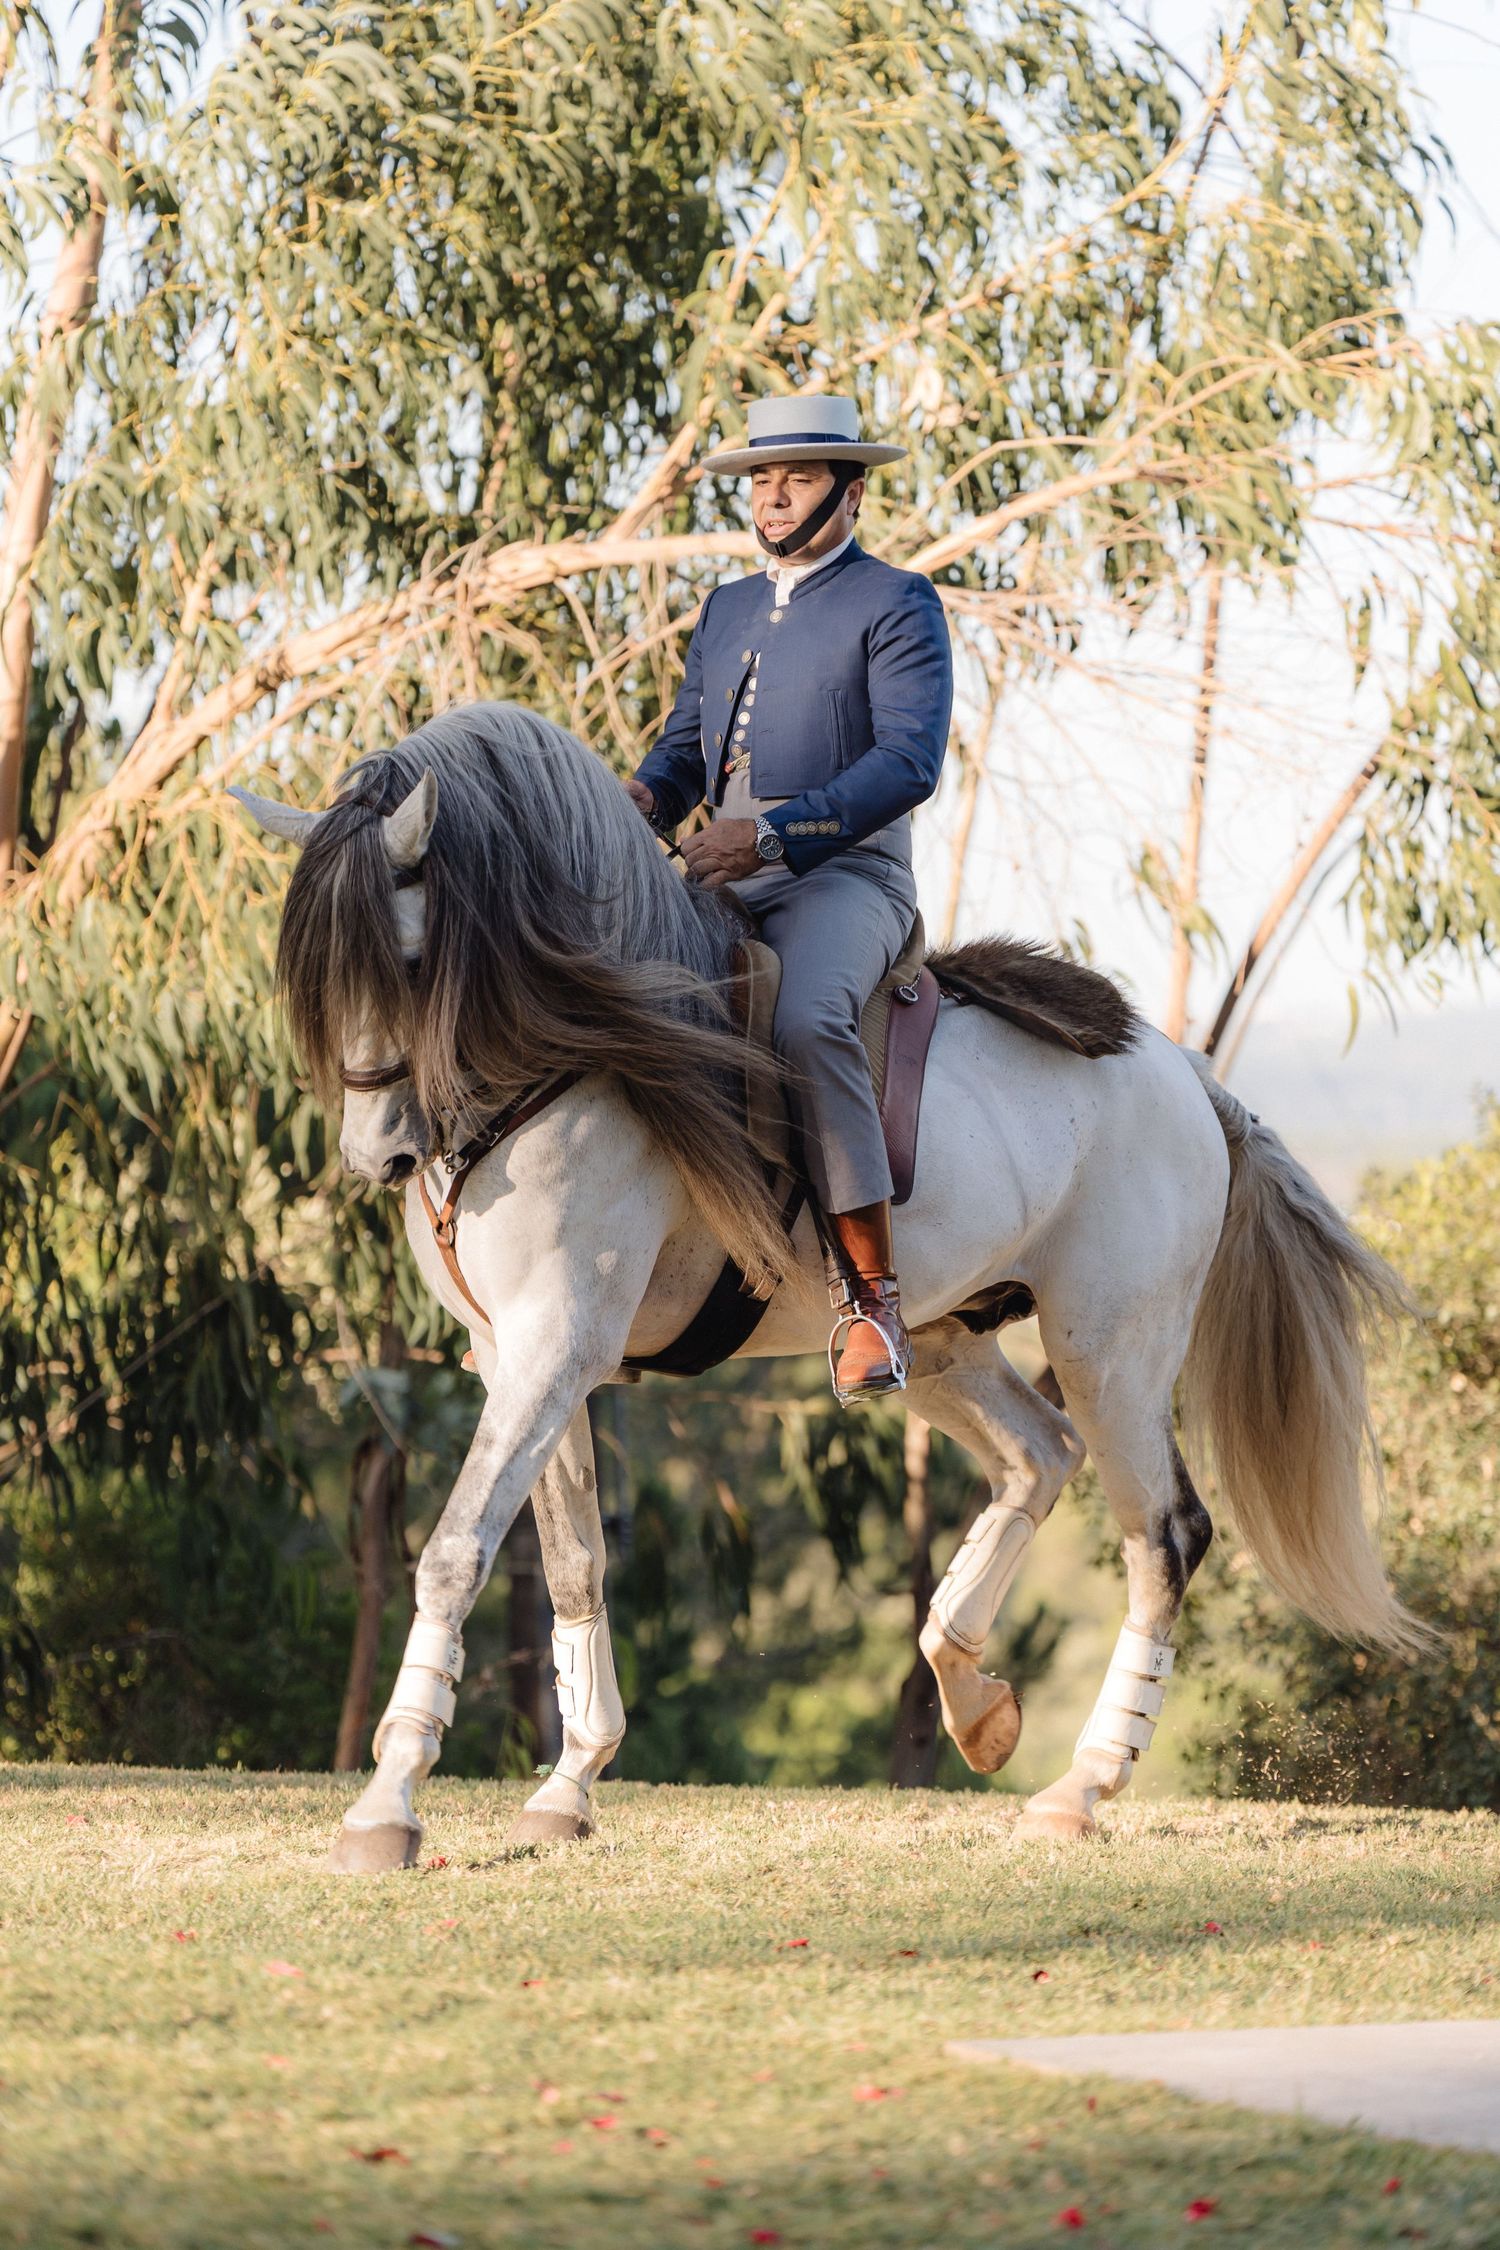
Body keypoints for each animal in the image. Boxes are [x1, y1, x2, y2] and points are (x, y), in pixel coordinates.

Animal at [232, 699, 1420, 1873]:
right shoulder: (519, 1357)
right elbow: (572, 1564)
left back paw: (1081, 1785)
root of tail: (1188, 1077)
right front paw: (568, 1788)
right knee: (1039, 1454)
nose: (378, 1158)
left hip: (1111, 1354)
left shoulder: (556, 1342)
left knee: (1162, 1535)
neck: (579, 1044)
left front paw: (386, 1806)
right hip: (941, 1344)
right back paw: (974, 1697)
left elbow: (453, 1552)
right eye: (316, 978)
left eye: (411, 957)